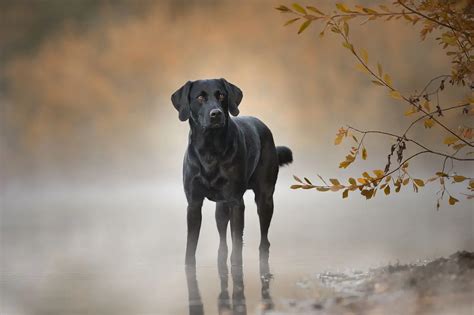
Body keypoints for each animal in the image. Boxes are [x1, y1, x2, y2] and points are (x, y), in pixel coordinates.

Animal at [173, 78, 292, 266]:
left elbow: (237, 240)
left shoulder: (236, 202)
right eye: (200, 97)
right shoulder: (193, 204)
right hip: (221, 207)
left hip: (264, 198)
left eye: (221, 95)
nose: (216, 113)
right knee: (223, 237)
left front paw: (237, 264)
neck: (210, 150)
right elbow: (191, 244)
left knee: (264, 239)